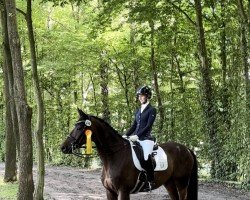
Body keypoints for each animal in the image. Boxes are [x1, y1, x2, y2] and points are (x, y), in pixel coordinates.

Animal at [60, 109, 197, 200]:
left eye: (79, 128)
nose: (63, 147)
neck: (114, 156)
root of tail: (186, 148)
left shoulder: (123, 191)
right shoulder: (110, 192)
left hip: (181, 181)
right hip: (169, 182)